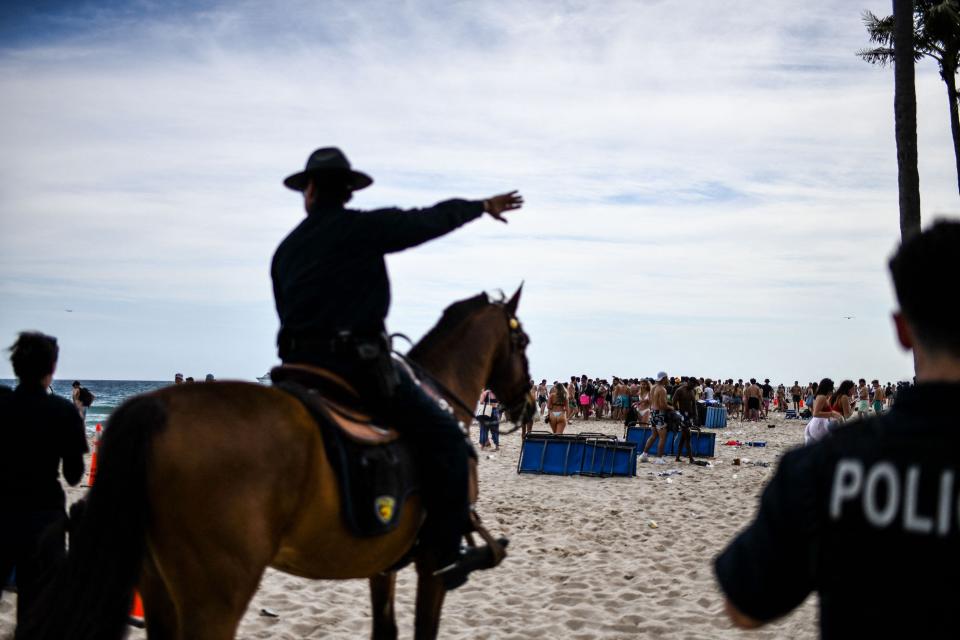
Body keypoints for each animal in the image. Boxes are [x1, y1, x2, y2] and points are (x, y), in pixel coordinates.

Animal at [20, 288, 532, 640]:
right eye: (523, 340)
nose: (526, 402)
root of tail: (155, 408)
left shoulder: (383, 564)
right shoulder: (432, 566)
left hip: (159, 584)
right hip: (215, 595)